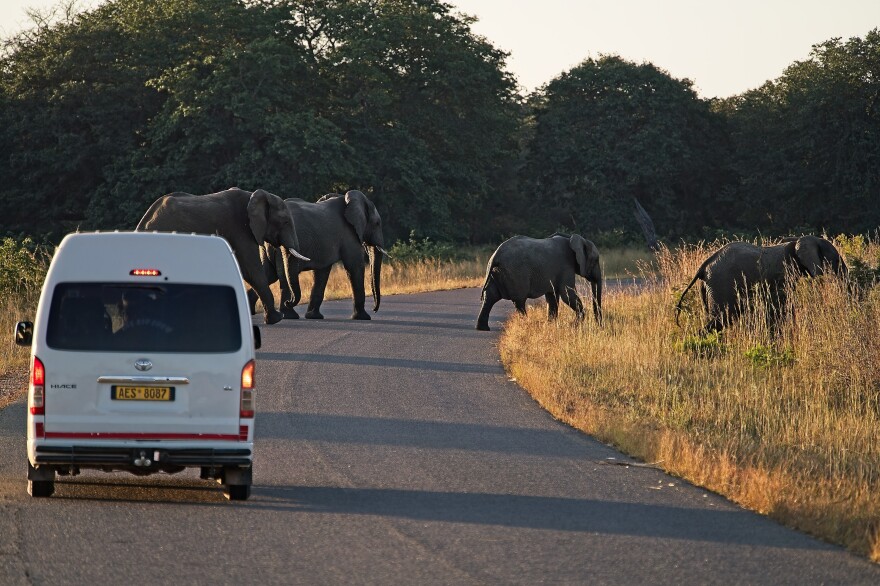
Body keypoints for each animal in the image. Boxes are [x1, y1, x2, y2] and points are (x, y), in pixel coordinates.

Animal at [132, 187, 308, 324]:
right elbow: (251, 269)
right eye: (285, 222)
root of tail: (143, 223)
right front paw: (277, 318)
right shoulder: (240, 229)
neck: (255, 196)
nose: (288, 302)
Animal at [246, 188, 386, 320]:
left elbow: (322, 272)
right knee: (282, 275)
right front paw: (363, 318)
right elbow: (355, 266)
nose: (374, 309)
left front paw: (313, 316)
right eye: (377, 223)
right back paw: (289, 315)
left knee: (269, 274)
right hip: (282, 242)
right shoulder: (348, 234)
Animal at [474, 234, 604, 334]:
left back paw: (483, 328)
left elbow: (552, 298)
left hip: (497, 273)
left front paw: (551, 325)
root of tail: (496, 255)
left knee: (490, 297)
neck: (572, 239)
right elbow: (567, 295)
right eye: (596, 260)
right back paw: (525, 325)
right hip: (516, 273)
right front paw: (575, 325)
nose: (600, 326)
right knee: (519, 301)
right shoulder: (566, 267)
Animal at [672, 234, 844, 334]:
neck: (797, 242)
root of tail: (703, 267)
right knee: (722, 319)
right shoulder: (783, 275)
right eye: (835, 260)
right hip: (721, 285)